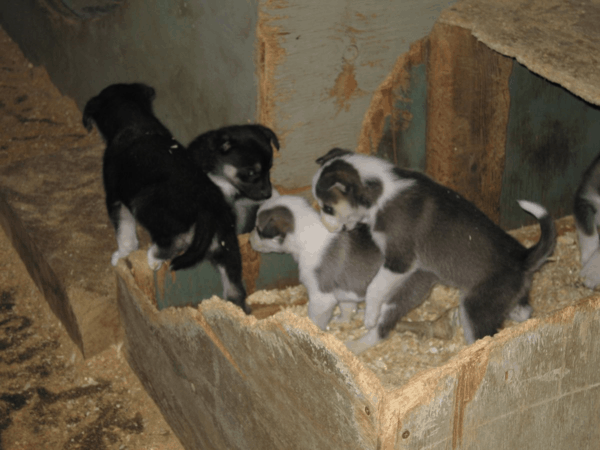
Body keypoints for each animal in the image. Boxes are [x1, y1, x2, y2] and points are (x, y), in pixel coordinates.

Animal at [83, 82, 247, 312]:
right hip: (227, 247)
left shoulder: (116, 199)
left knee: (176, 239)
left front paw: (121, 255)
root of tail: (209, 205)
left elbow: (125, 234)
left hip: (145, 202)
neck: (133, 119)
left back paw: (153, 257)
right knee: (236, 291)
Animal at [312, 149, 556, 354]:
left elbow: (374, 287)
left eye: (327, 208)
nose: (324, 226)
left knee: (484, 338)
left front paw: (370, 316)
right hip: (506, 301)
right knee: (524, 312)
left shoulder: (399, 259)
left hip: (476, 308)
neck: (381, 192)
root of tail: (523, 258)